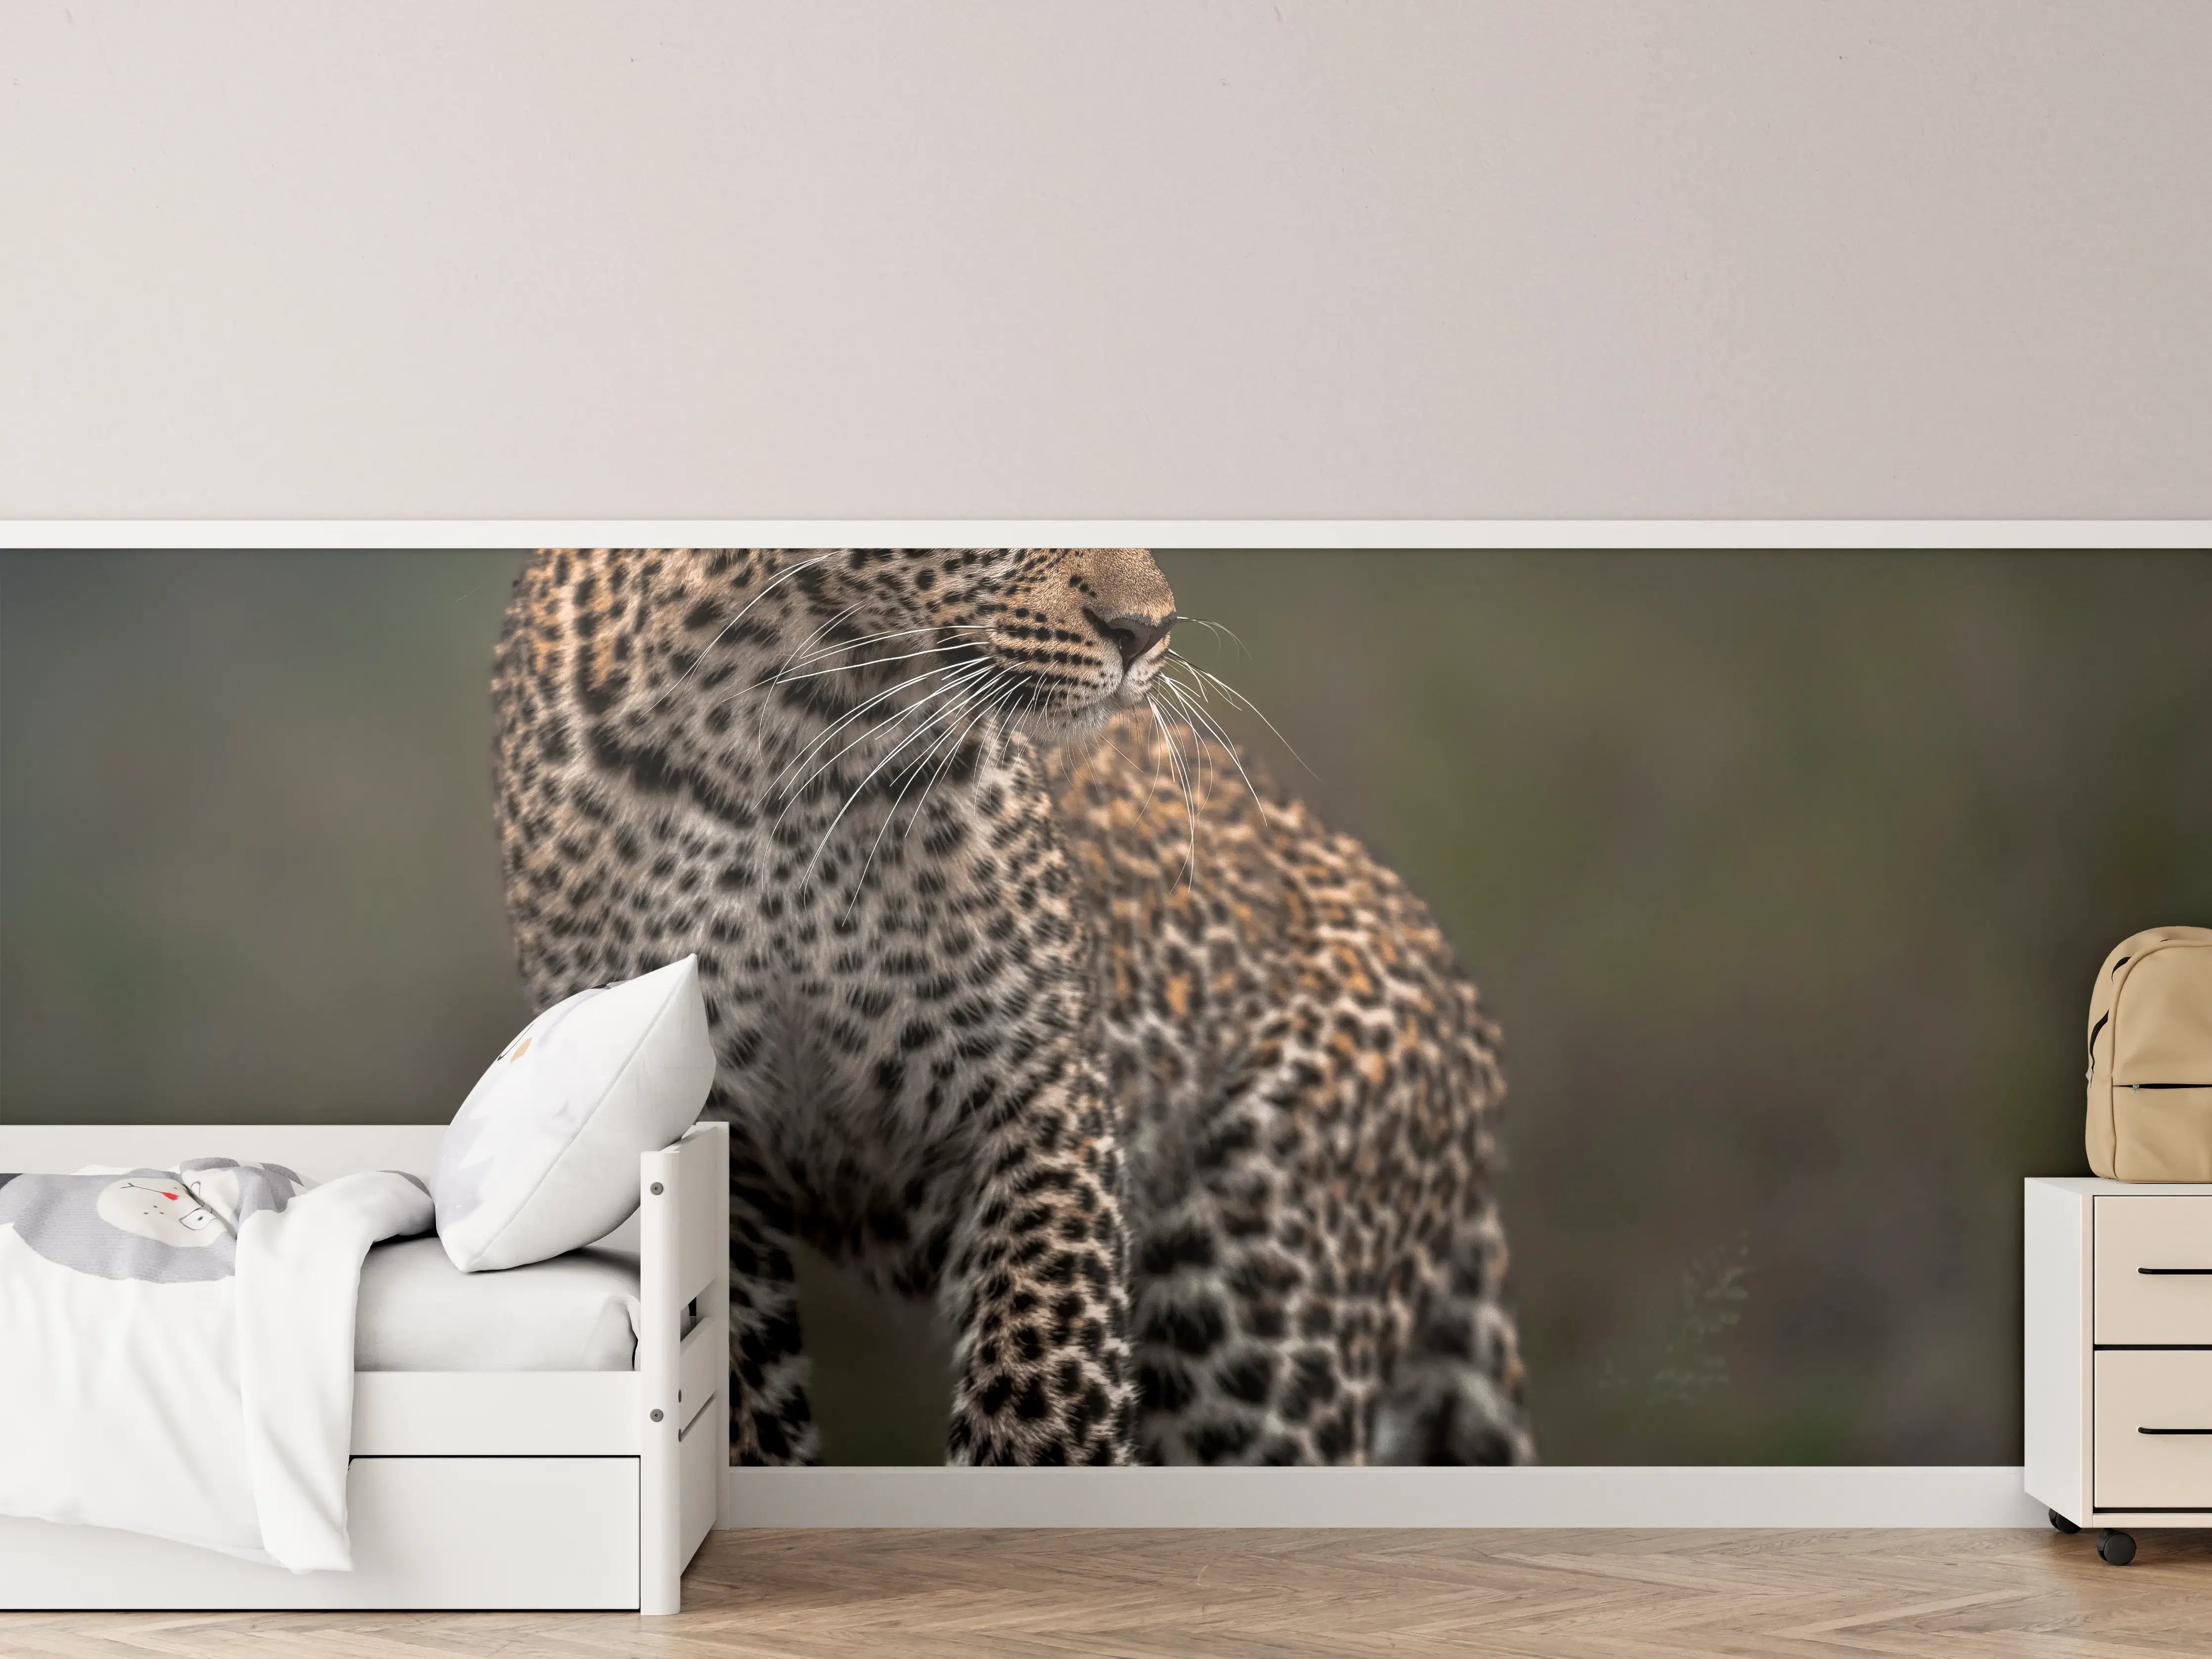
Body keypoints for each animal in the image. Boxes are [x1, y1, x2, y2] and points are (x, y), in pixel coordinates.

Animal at [490, 548, 1534, 1467]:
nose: (1148, 631)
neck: (776, 739)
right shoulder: (717, 1142)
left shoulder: (1041, 1097)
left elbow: (1046, 1393)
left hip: (1257, 1304)